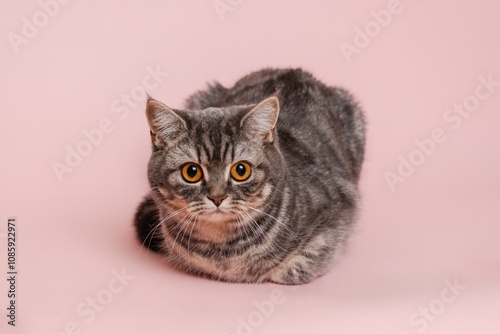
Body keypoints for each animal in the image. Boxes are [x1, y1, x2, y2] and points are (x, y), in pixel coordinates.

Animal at [135, 68, 366, 284]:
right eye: (191, 172)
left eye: (241, 170)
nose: (217, 197)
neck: (223, 251)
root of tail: (292, 70)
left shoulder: (341, 208)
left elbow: (303, 262)